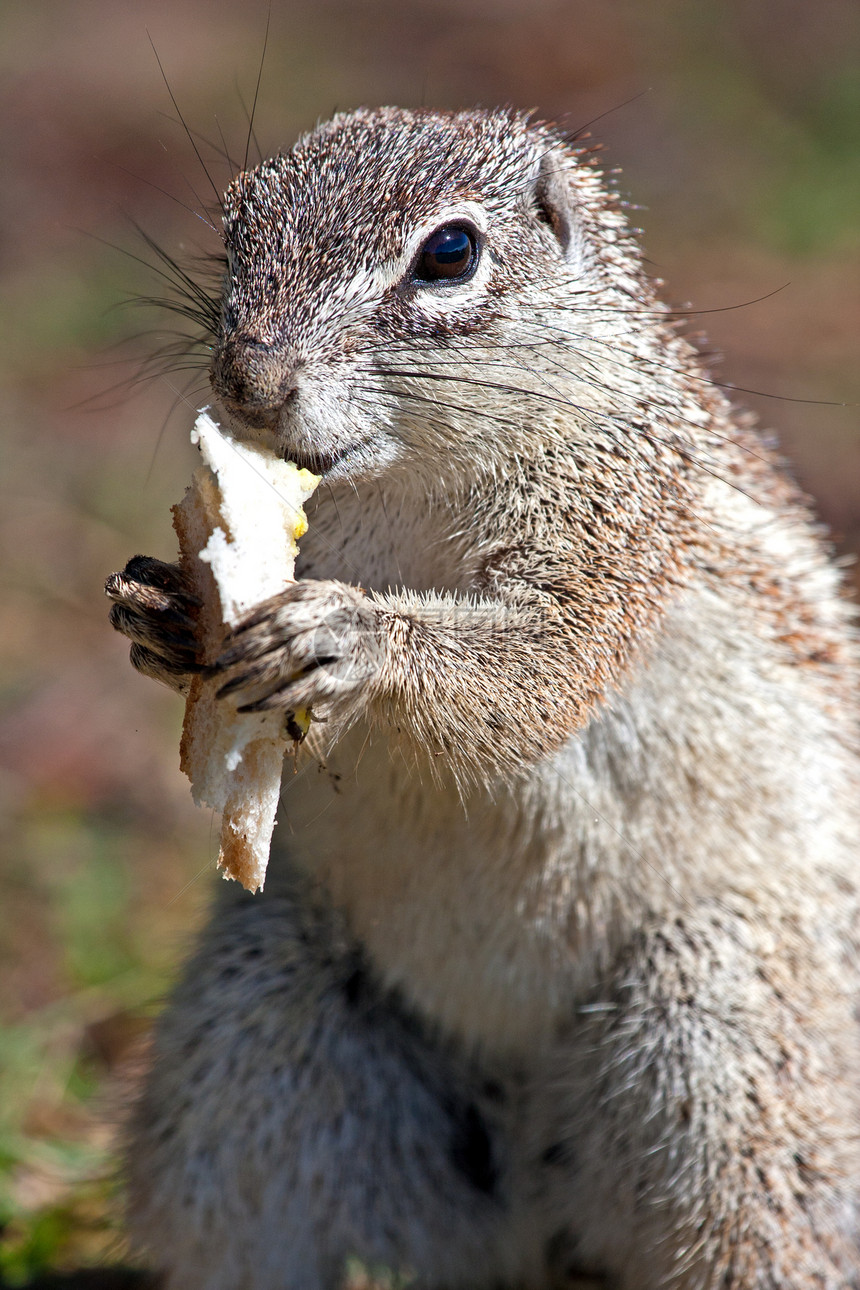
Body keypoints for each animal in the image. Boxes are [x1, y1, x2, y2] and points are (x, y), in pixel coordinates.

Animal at [105, 105, 860, 1284]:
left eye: (449, 254)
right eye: (236, 222)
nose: (248, 381)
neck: (403, 487)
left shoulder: (613, 533)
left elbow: (539, 670)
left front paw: (351, 635)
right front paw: (167, 611)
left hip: (728, 1051)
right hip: (243, 1041)